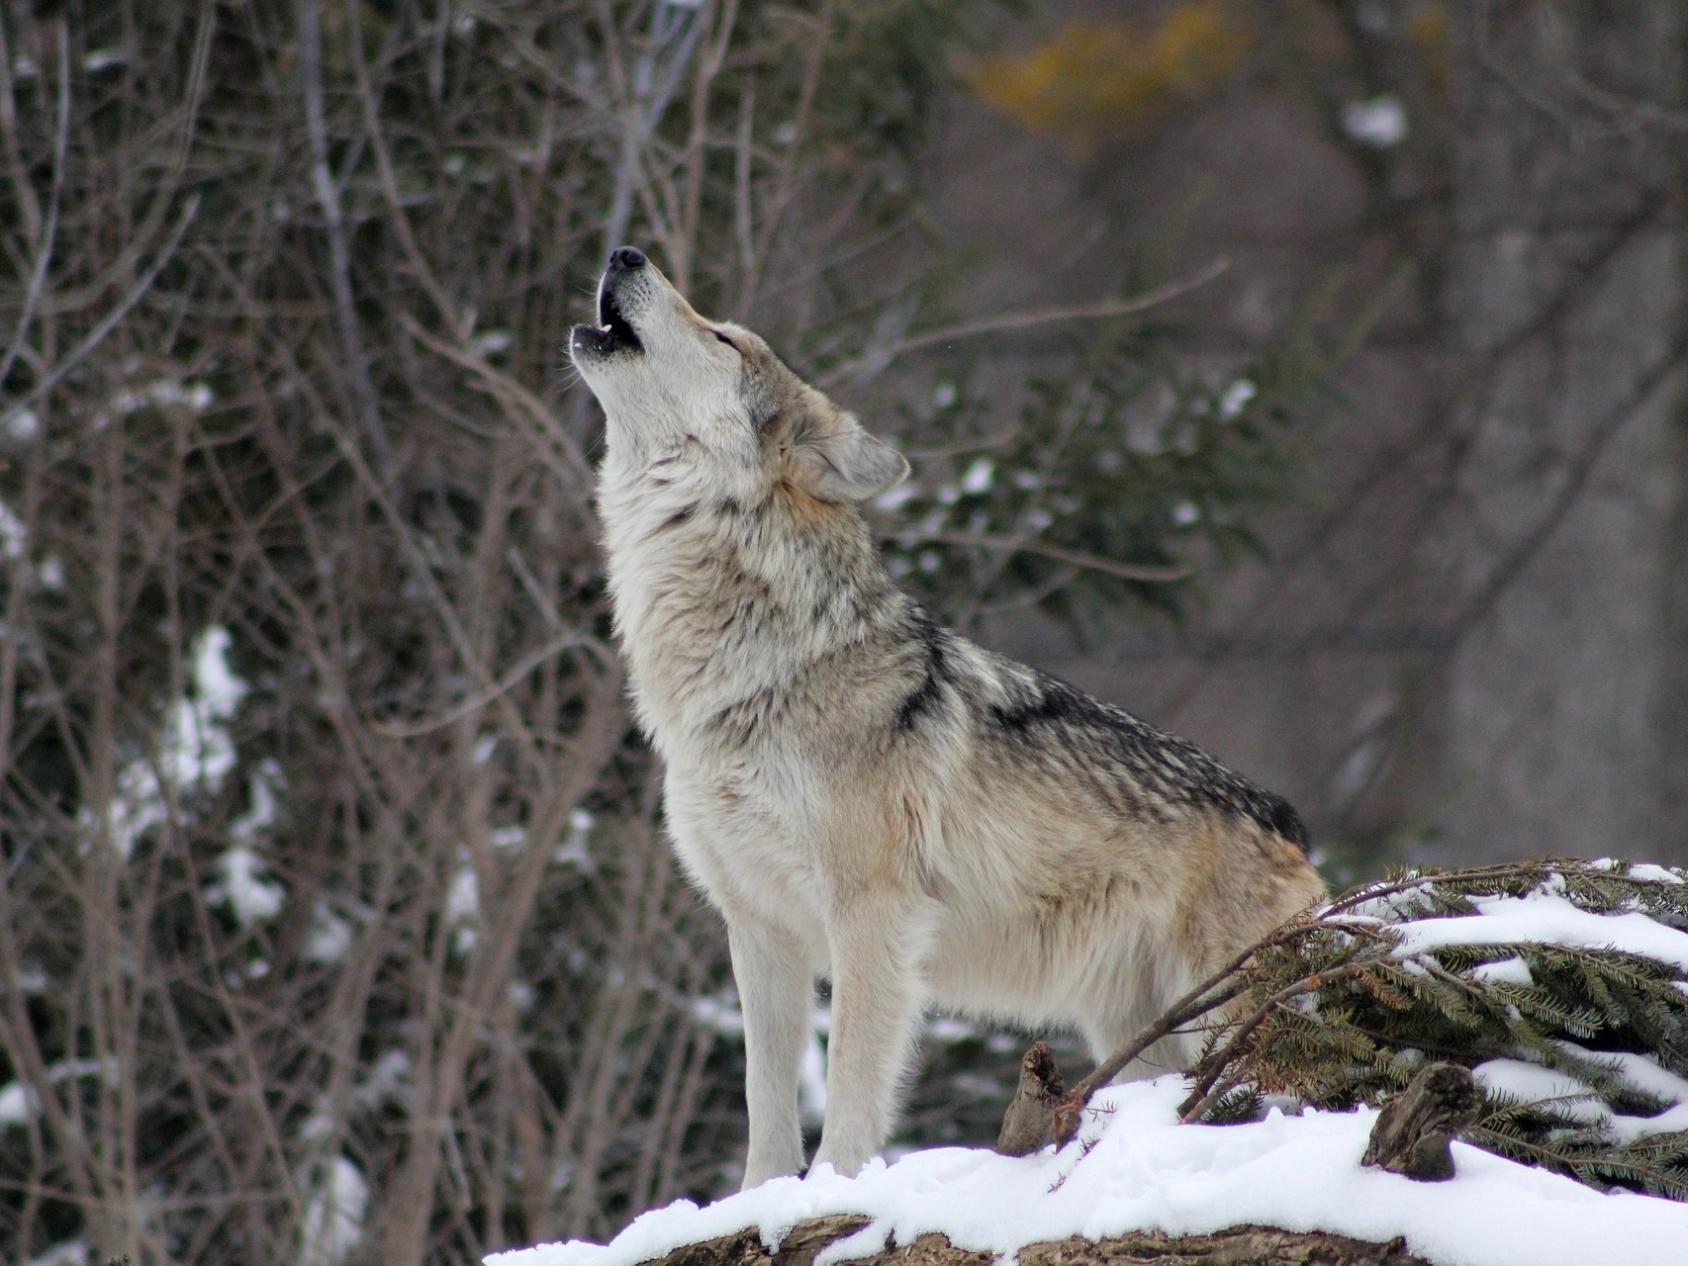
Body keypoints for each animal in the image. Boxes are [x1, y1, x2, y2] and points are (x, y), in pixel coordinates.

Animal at [573, 244, 1323, 1188]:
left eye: (723, 337)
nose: (624, 252)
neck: (755, 670)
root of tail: (1288, 820)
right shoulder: (759, 927)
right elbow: (765, 1104)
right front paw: (759, 1201)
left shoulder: (872, 916)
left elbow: (851, 1085)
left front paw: (832, 1192)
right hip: (1139, 1035)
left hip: (1225, 1015)